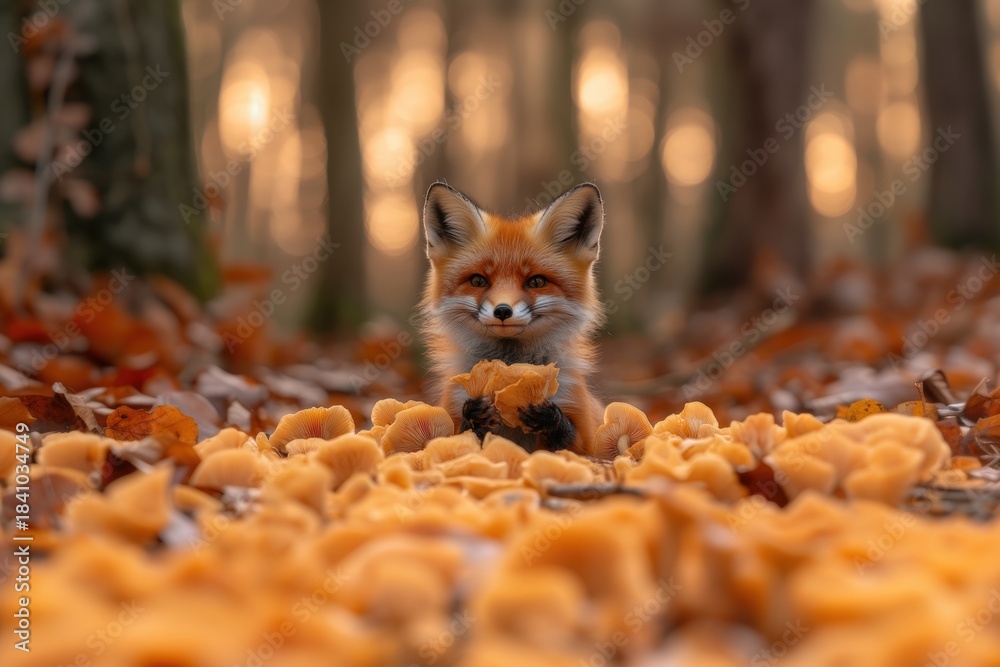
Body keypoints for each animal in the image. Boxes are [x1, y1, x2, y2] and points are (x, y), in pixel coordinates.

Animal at [418, 181, 606, 456]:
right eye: (478, 281)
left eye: (536, 281)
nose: (503, 311)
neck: (510, 367)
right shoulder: (451, 407)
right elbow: (456, 438)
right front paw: (474, 416)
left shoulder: (584, 434)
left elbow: (571, 442)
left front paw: (549, 418)